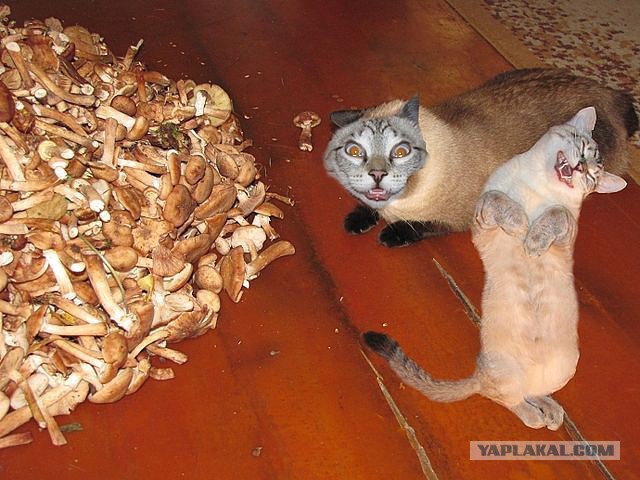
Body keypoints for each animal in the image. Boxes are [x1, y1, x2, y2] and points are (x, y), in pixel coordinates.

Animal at [328, 68, 636, 248]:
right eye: (354, 154)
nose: (374, 176)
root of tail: (607, 91)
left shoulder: (459, 218)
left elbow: (422, 226)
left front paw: (391, 234)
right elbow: (368, 206)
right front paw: (357, 221)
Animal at [362, 107, 628, 430]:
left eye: (592, 175)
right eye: (581, 145)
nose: (581, 167)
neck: (539, 187)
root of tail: (480, 372)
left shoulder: (567, 232)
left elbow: (556, 213)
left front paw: (532, 242)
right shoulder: (482, 217)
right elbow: (501, 200)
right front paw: (523, 227)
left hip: (562, 369)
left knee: (527, 394)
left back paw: (551, 413)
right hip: (507, 375)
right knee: (502, 397)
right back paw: (538, 416)